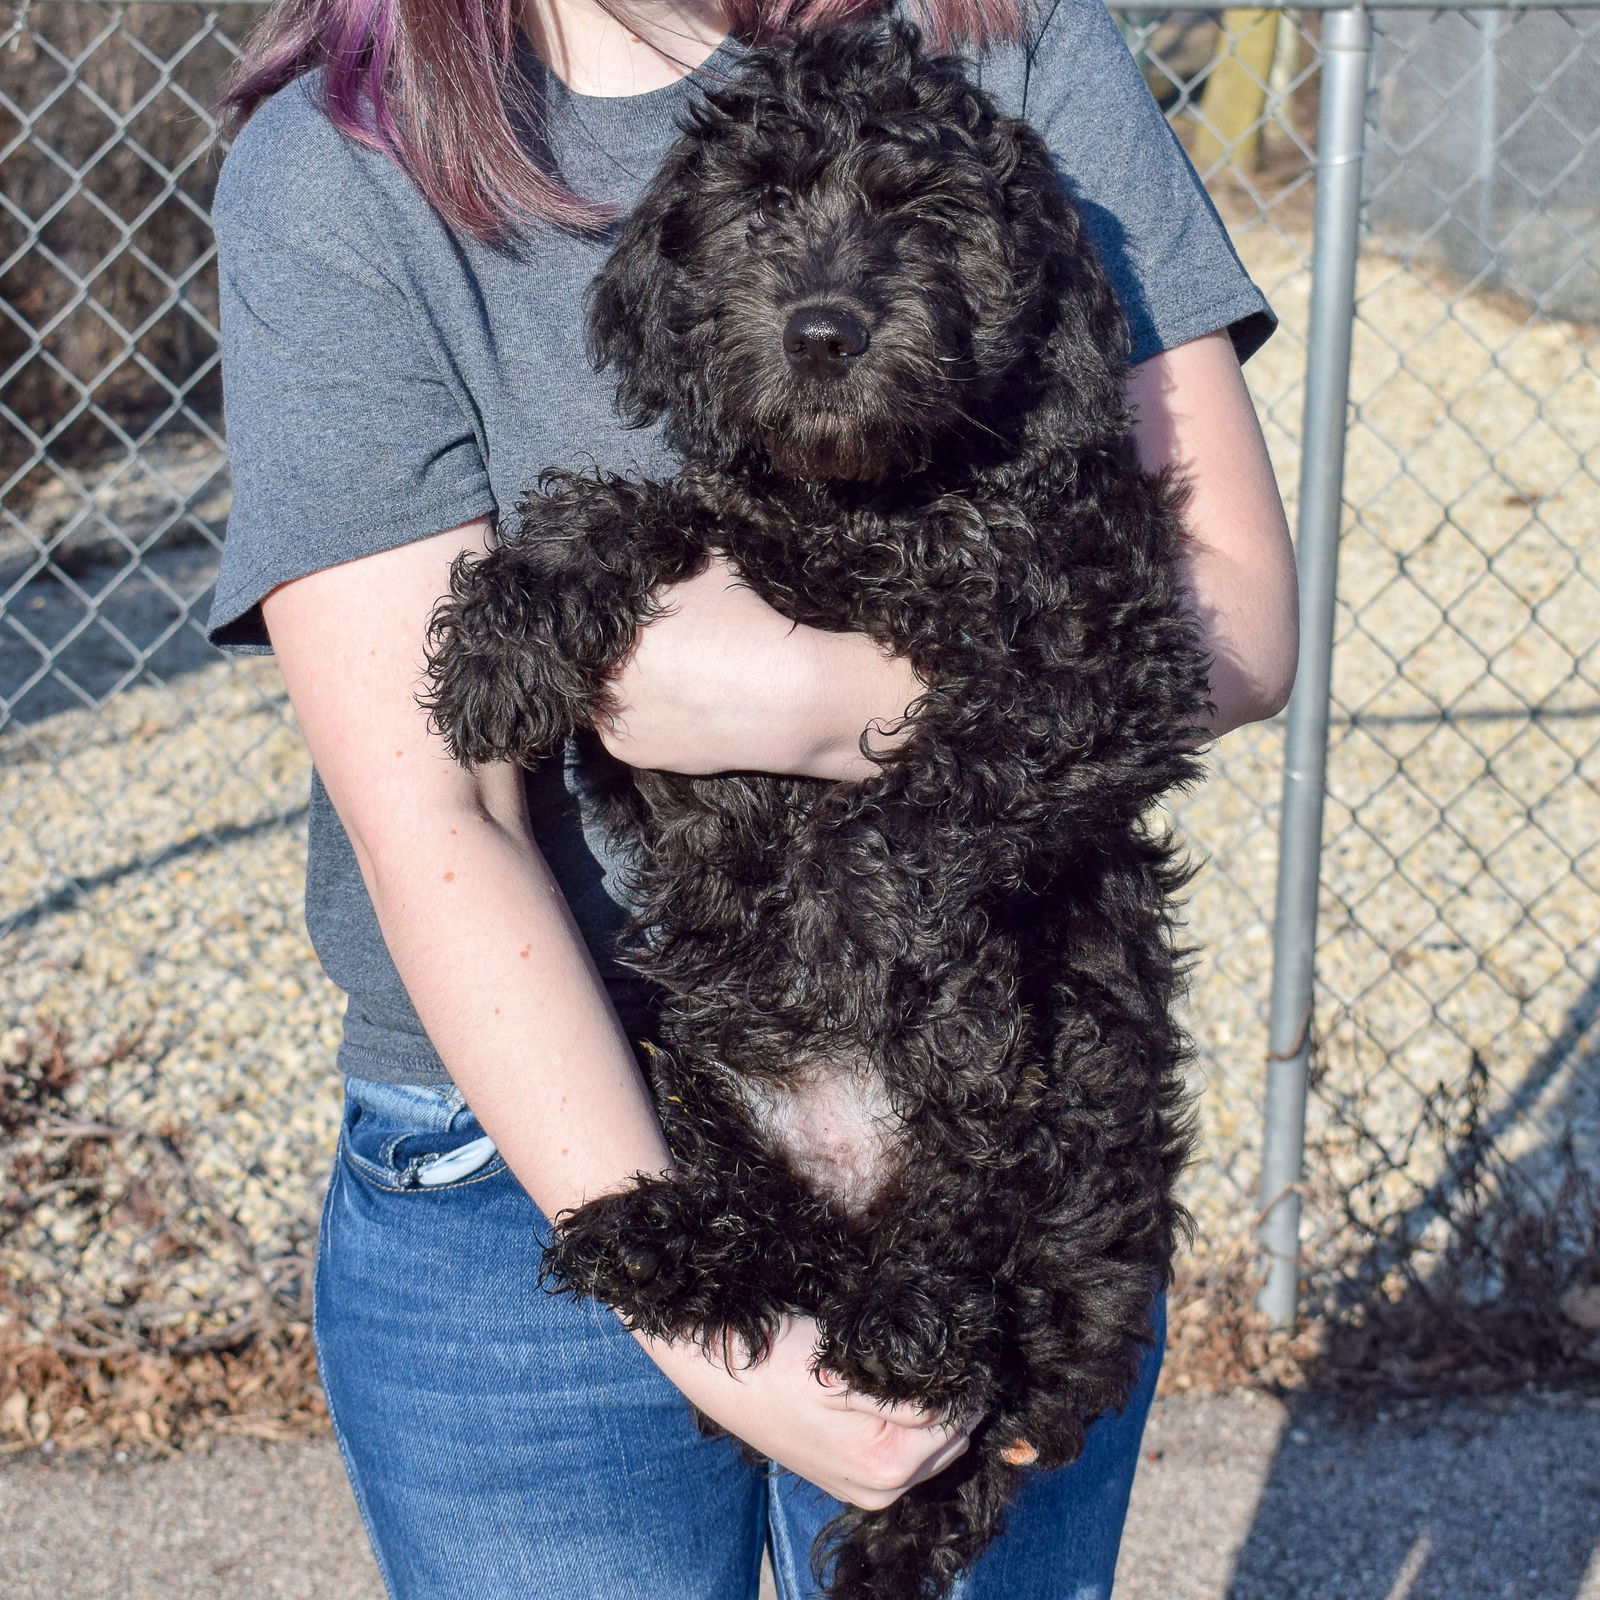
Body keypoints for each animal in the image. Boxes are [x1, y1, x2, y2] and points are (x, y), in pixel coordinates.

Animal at [419, 18, 1203, 1593]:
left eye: (930, 216)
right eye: (762, 206)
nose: (825, 333)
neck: (873, 505)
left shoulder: (1110, 648)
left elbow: (953, 792)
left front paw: (932, 969)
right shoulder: (721, 590)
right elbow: (636, 506)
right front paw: (507, 636)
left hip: (1086, 1093)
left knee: (981, 1281)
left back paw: (916, 1314)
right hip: (685, 1048)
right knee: (779, 1241)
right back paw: (662, 1233)